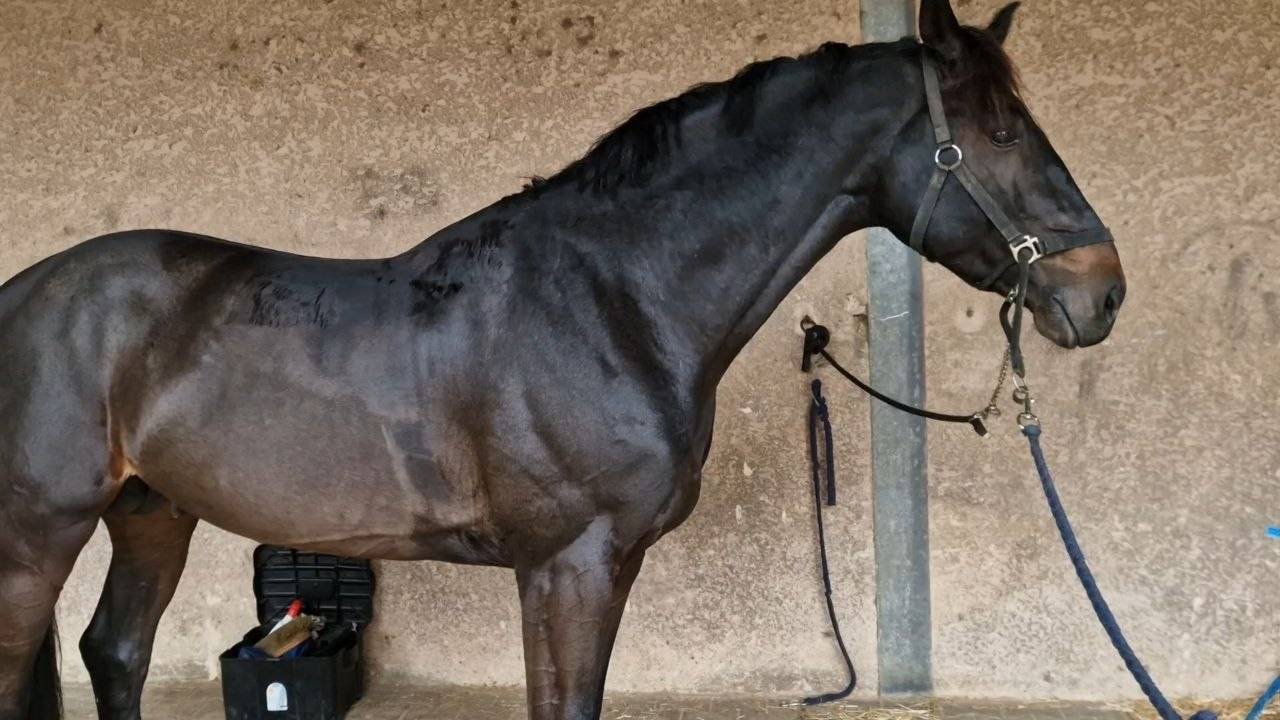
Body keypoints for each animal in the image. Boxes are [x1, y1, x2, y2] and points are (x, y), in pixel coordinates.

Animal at [0, 0, 1126, 718]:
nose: (1100, 292)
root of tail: (24, 292)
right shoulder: (565, 566)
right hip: (39, 534)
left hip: (152, 512)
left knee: (117, 653)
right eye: (995, 131)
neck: (611, 299)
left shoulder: (605, 565)